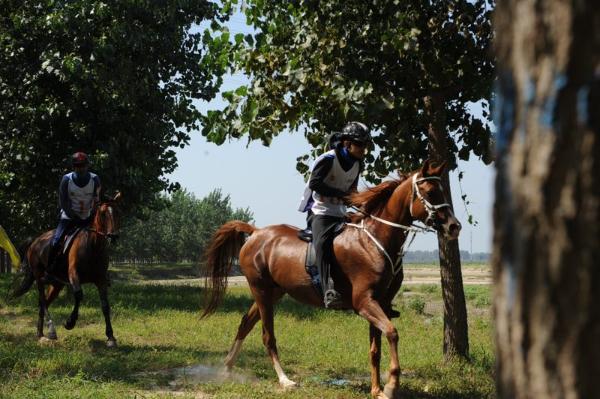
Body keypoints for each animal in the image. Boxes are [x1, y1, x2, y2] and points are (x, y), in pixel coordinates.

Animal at [10, 193, 121, 346]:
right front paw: (70, 322)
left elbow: (105, 305)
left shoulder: (101, 280)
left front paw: (110, 337)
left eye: (117, 212)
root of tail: (35, 241)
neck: (93, 246)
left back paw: (40, 333)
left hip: (57, 285)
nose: (113, 236)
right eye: (103, 213)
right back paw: (51, 330)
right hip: (39, 277)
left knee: (43, 303)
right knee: (43, 301)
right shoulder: (74, 275)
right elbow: (79, 295)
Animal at [202, 160, 460, 399]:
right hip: (261, 290)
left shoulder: (381, 303)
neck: (375, 240)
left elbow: (375, 349)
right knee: (267, 336)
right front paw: (391, 385)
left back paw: (226, 369)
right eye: (430, 192)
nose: (454, 227)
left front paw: (376, 389)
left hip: (273, 292)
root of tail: (255, 233)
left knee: (246, 323)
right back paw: (285, 380)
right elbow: (392, 333)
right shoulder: (364, 302)